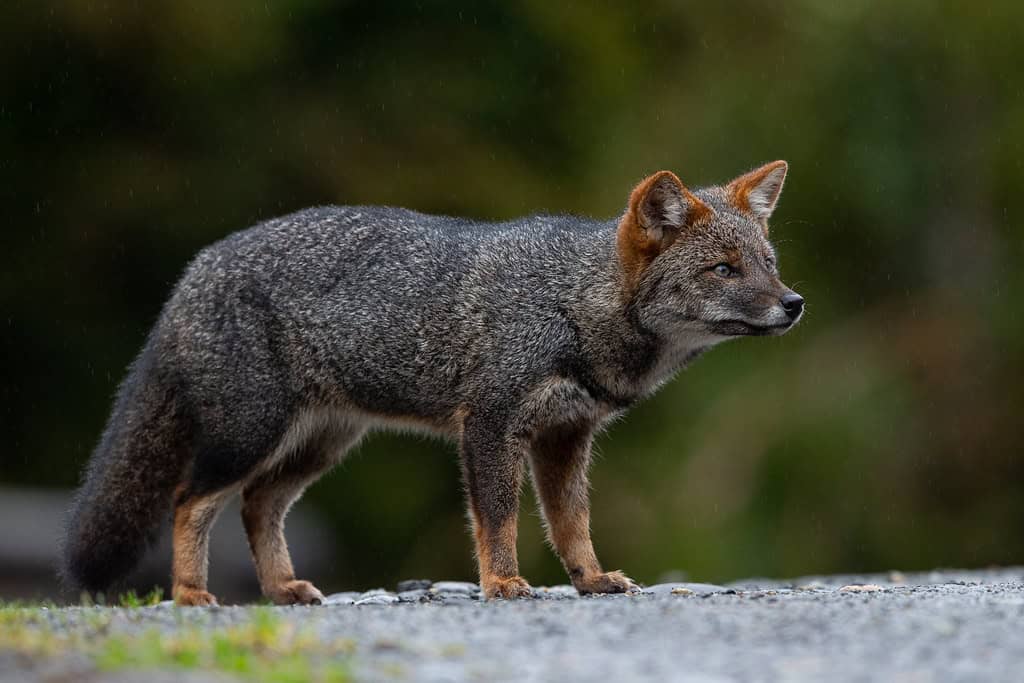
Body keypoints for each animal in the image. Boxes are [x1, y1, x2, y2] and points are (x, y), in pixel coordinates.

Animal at [59, 162, 802, 606]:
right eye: (724, 269)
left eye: (768, 263)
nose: (795, 304)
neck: (571, 302)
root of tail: (199, 266)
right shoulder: (491, 425)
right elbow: (498, 517)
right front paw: (502, 581)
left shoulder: (565, 436)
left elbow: (572, 522)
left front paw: (590, 579)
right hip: (250, 435)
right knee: (190, 501)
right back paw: (190, 595)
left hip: (316, 447)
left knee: (256, 506)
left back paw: (282, 589)